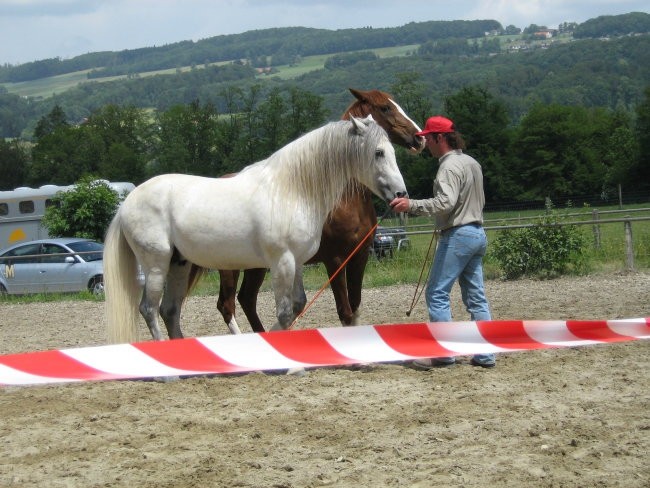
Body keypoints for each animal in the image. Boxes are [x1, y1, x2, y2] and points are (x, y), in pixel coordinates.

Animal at [104, 117, 404, 344]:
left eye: (392, 151)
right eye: (378, 152)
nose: (401, 194)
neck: (290, 191)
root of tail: (127, 203)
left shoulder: (297, 262)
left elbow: (297, 305)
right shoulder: (284, 262)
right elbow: (284, 312)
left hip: (180, 264)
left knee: (170, 311)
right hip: (157, 264)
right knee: (149, 309)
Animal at [215, 87, 422, 334]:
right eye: (386, 107)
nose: (419, 137)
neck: (345, 202)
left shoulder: (359, 257)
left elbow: (355, 308)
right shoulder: (335, 260)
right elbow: (345, 312)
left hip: (256, 265)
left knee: (246, 298)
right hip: (231, 265)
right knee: (227, 305)